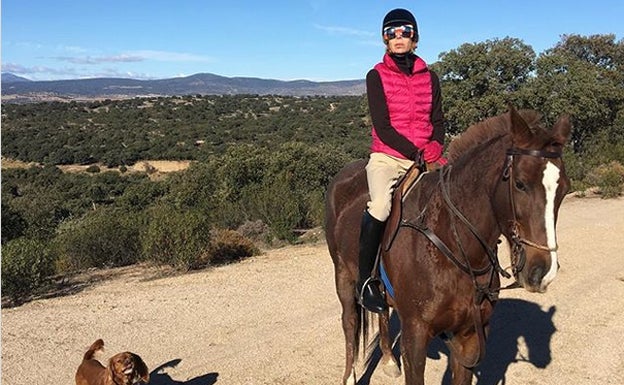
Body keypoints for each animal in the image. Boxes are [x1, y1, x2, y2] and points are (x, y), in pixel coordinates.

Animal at [324, 106, 572, 384]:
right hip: (343, 275)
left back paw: (388, 360)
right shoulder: (415, 337)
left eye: (564, 189)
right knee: (350, 321)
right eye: (520, 183)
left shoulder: (469, 337)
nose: (543, 272)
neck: (453, 244)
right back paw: (350, 376)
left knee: (382, 311)